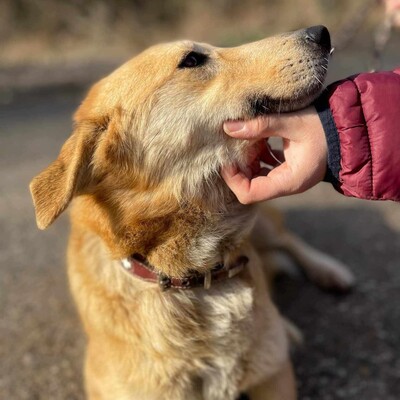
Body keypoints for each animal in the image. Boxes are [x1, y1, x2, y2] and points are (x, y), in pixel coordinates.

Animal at [32, 25, 354, 400]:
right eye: (192, 60)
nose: (320, 32)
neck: (193, 276)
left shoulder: (276, 377)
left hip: (265, 225)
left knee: (288, 239)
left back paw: (328, 272)